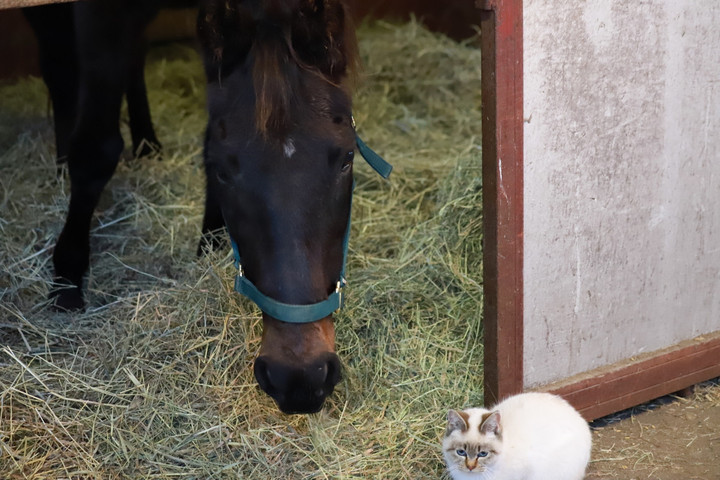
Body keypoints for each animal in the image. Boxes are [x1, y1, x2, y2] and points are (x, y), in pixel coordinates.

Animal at [24, 0, 389, 414]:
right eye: (224, 171)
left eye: (346, 159)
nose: (300, 377)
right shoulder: (101, 18)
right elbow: (95, 151)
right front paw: (67, 279)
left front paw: (211, 241)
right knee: (59, 70)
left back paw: (147, 142)